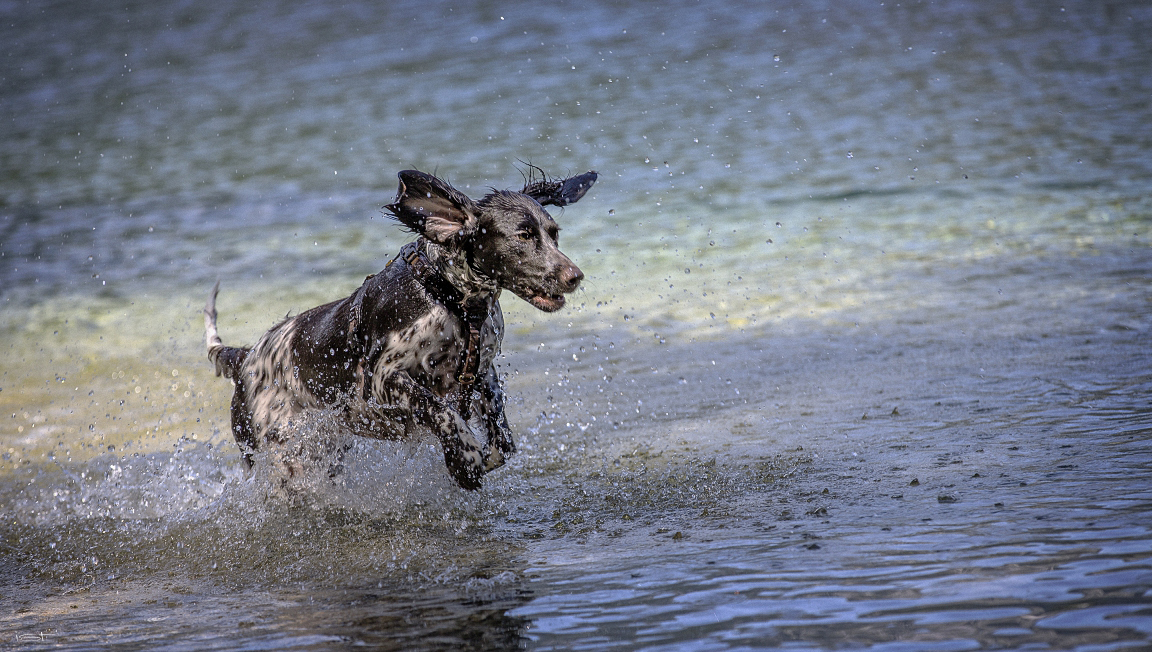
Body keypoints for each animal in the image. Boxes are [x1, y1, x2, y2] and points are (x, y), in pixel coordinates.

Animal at [203, 168, 599, 490]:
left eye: (554, 234)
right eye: (524, 235)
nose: (575, 276)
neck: (449, 298)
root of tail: (246, 358)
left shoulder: (483, 372)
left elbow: (502, 443)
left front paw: (474, 460)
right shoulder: (383, 379)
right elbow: (440, 410)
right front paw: (464, 457)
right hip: (283, 454)